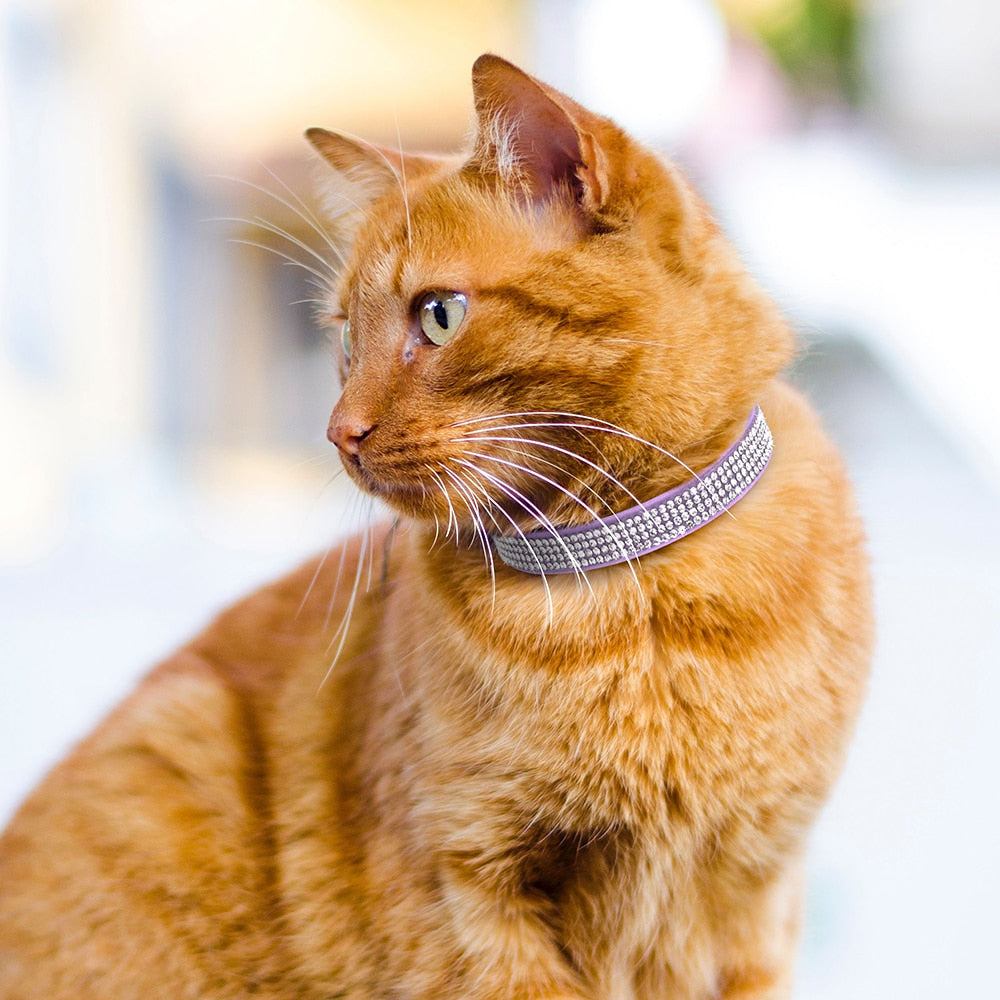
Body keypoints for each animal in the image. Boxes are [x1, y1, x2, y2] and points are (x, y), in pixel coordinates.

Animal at [0, 54, 872, 1000]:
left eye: (438, 314)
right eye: (347, 339)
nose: (338, 431)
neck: (627, 594)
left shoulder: (756, 897)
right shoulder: (467, 895)